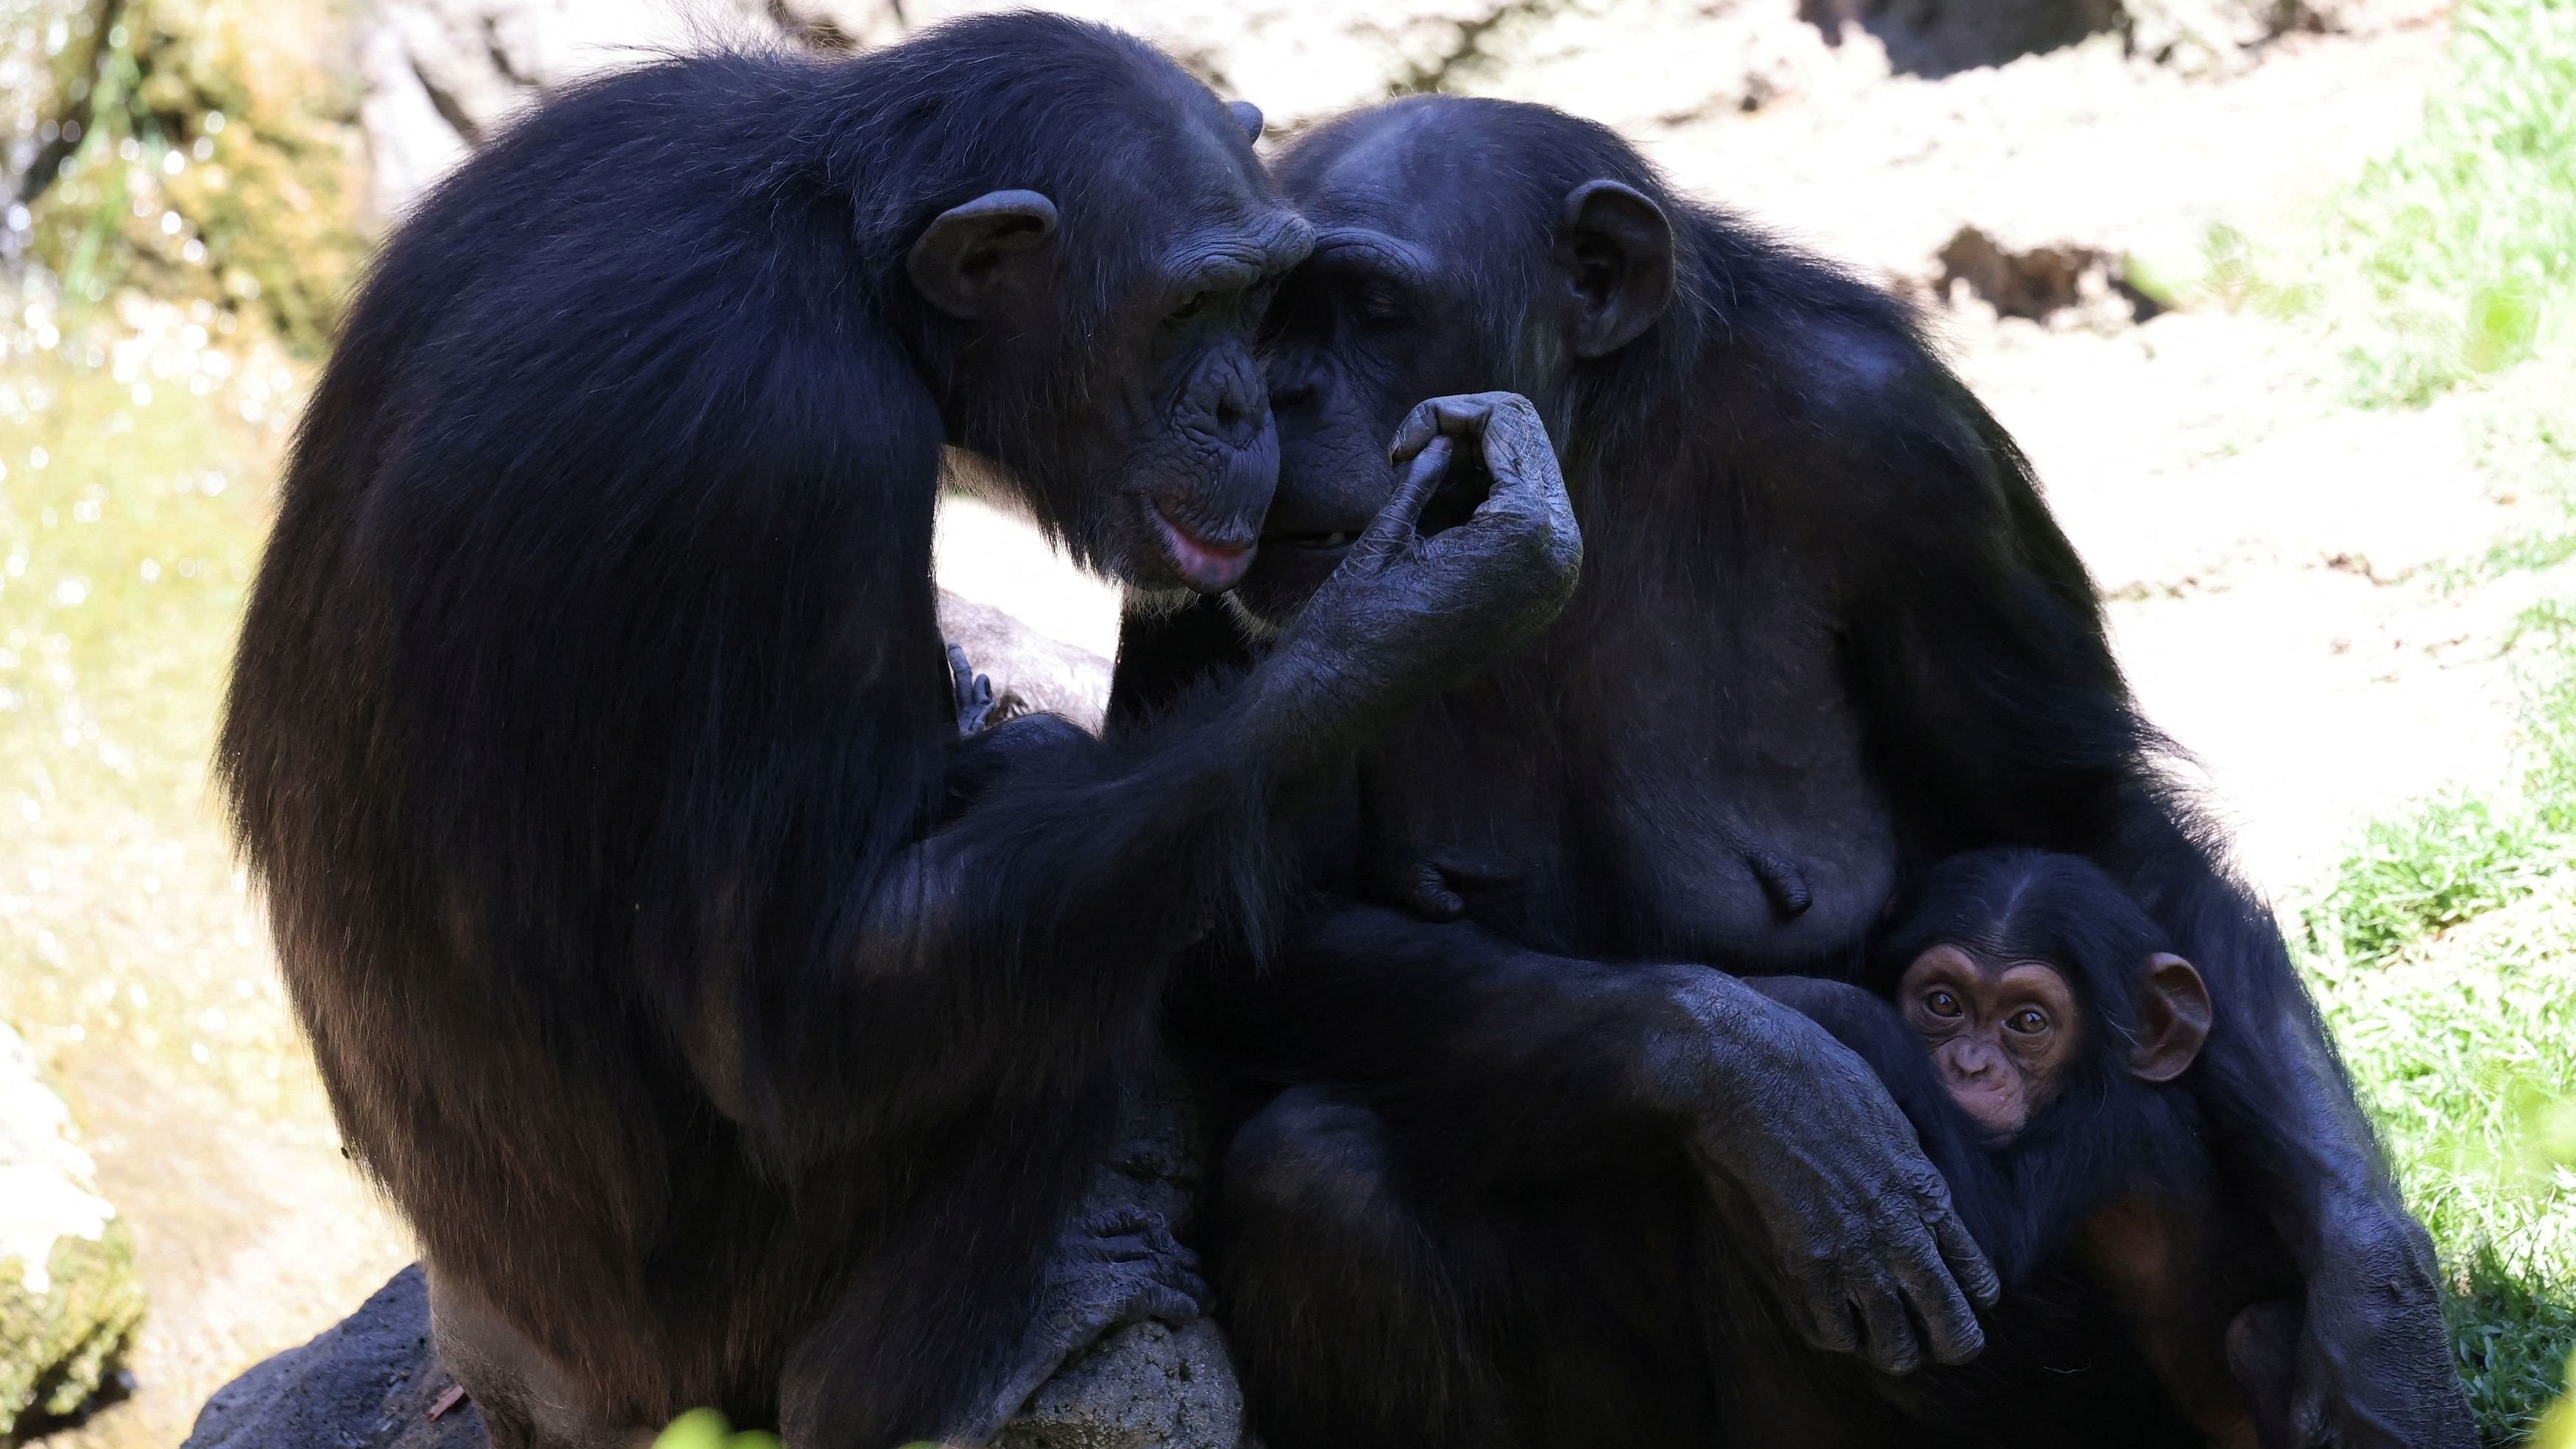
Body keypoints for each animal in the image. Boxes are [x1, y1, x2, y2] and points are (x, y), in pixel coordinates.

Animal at [222, 22, 1577, 1449]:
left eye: (1262, 298)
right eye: (1188, 311)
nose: (1243, 404)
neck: (841, 247)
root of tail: (521, 1384)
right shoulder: (802, 446)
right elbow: (793, 1015)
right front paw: (1405, 611)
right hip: (709, 1338)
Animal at [1741, 849, 2308, 1449]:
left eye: (2028, 1021)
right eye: (1943, 1003)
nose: (1971, 1064)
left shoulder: (2109, 1134)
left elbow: (1988, 1236)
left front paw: (1785, 1000)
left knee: (2260, 1339)